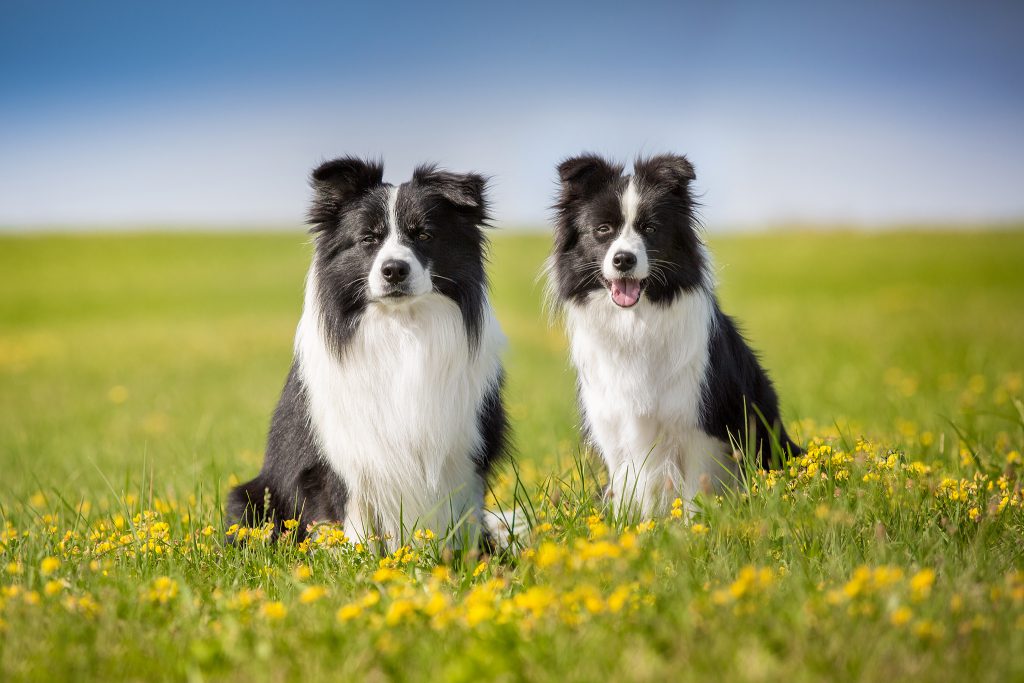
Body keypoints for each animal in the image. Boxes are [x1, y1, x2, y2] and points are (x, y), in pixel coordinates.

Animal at [548, 153, 802, 518]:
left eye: (650, 229)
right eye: (603, 230)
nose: (623, 259)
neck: (635, 324)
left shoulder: (699, 427)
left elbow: (696, 490)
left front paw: (695, 528)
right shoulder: (613, 428)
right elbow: (625, 493)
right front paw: (628, 528)